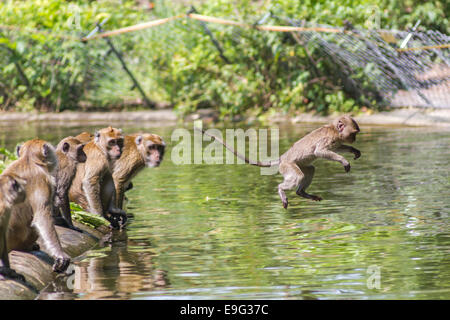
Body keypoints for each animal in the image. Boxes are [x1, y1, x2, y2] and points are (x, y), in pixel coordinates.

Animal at [200, 116, 362, 209]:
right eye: (353, 133)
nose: (354, 139)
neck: (334, 130)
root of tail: (282, 158)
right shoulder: (328, 139)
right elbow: (319, 152)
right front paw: (344, 161)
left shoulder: (336, 141)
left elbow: (338, 147)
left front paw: (353, 150)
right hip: (287, 166)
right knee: (297, 176)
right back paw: (281, 189)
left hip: (298, 165)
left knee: (310, 169)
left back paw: (301, 192)